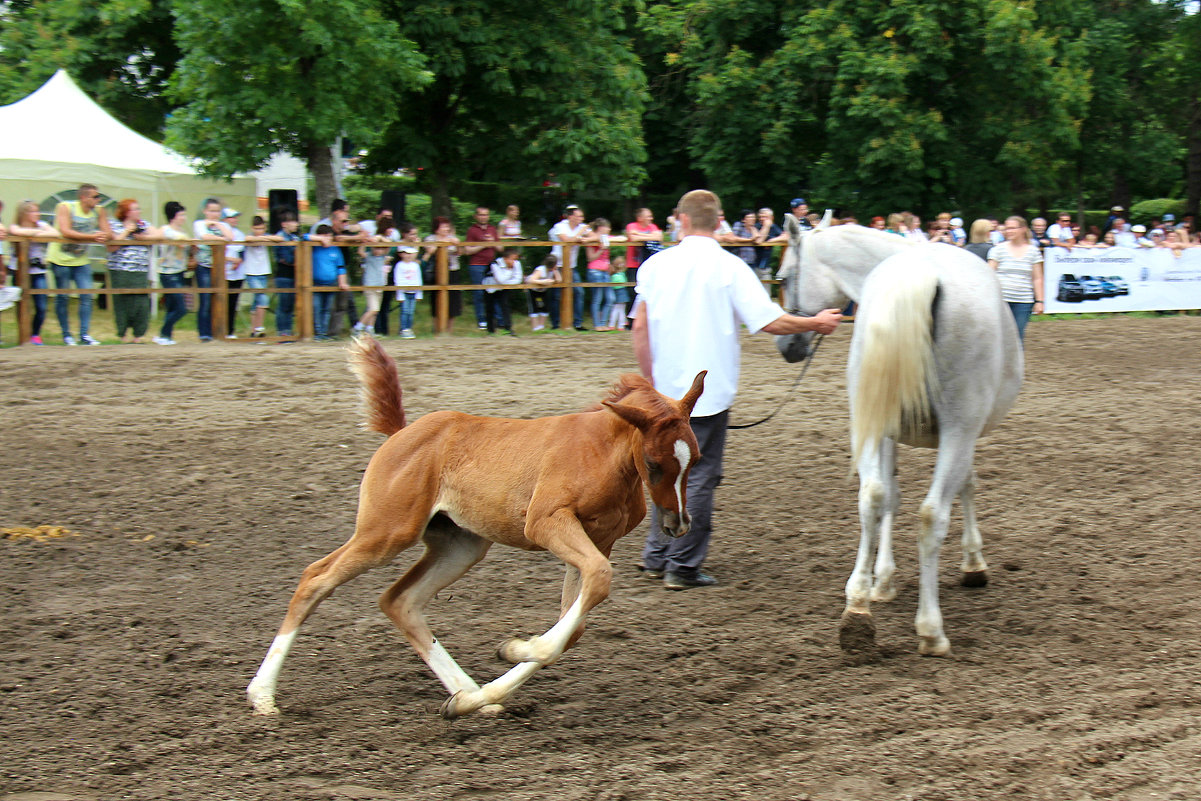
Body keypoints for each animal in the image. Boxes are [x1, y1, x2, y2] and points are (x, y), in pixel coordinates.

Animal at [251, 338, 701, 720]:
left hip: (460, 545)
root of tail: (401, 433)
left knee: (400, 601)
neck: (604, 452)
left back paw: (466, 695)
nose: (678, 523)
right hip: (386, 532)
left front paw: (492, 680)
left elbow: (576, 622)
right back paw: (262, 695)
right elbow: (594, 587)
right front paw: (518, 647)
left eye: (694, 458)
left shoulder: (598, 541)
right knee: (315, 579)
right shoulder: (546, 523)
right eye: (654, 463)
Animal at [778, 219, 1023, 658]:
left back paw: (856, 613)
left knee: (871, 497)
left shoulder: (887, 429)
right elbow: (967, 485)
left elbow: (887, 497)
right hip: (958, 431)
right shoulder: (965, 434)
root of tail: (919, 274)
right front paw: (973, 564)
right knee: (931, 516)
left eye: (786, 276)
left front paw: (879, 582)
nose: (787, 345)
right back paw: (931, 630)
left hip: (880, 426)